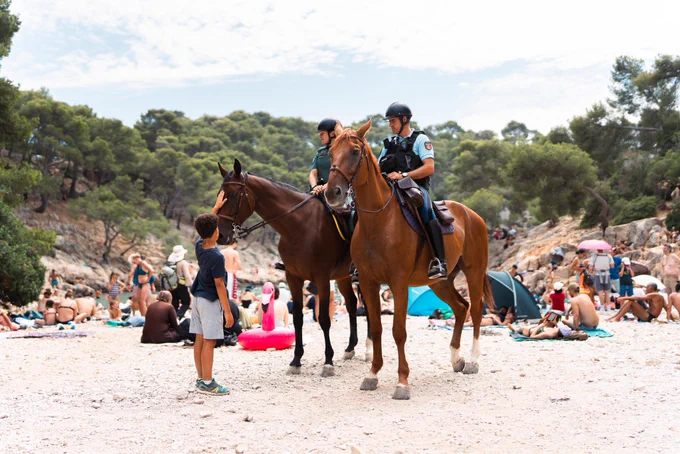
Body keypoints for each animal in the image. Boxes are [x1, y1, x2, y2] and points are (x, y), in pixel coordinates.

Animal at [214, 159, 367, 376]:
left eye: (234, 195)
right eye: (220, 193)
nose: (220, 235)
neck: (299, 226)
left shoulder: (321, 278)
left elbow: (324, 319)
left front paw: (328, 361)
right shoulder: (293, 278)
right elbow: (297, 319)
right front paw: (296, 360)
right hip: (343, 277)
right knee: (353, 304)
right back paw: (350, 347)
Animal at [324, 119, 494, 400]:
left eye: (355, 152)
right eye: (330, 153)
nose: (333, 193)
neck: (379, 221)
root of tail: (473, 215)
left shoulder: (398, 283)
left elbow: (398, 331)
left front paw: (402, 382)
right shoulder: (369, 283)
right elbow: (377, 328)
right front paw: (372, 374)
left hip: (474, 272)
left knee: (477, 310)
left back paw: (473, 360)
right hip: (440, 281)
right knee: (461, 308)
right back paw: (456, 358)